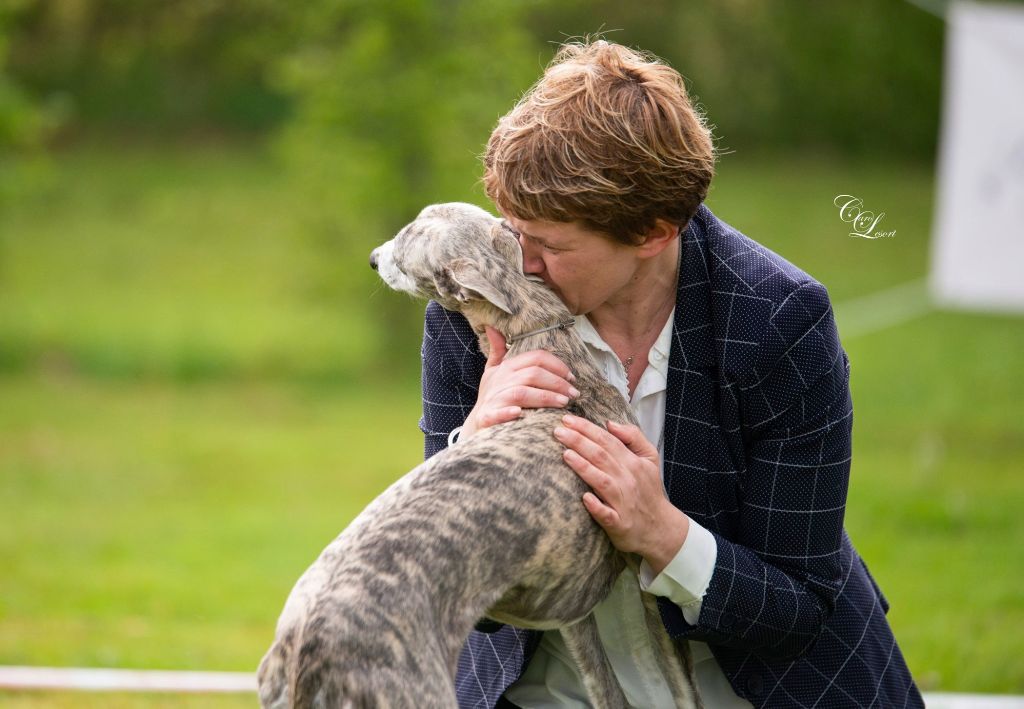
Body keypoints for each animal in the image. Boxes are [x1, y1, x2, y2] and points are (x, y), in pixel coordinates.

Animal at [260, 201, 700, 704]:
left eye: (408, 244)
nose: (372, 258)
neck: (539, 340)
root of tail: (298, 645)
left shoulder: (591, 602)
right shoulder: (620, 589)